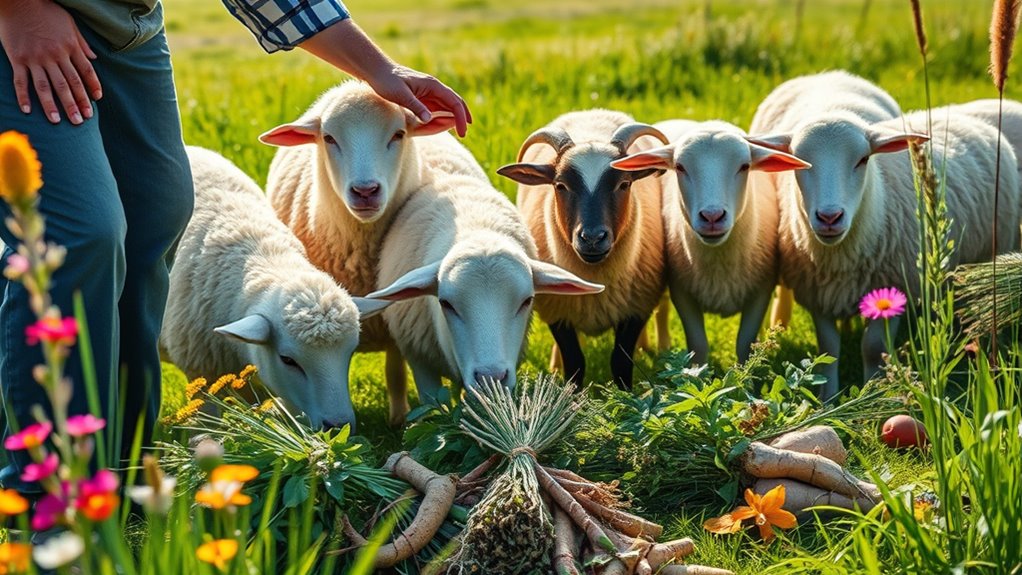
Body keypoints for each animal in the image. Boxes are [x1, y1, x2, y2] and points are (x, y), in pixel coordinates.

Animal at [260, 81, 460, 425]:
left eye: (398, 134)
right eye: (329, 138)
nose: (365, 191)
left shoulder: (395, 319)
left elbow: (395, 372)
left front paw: (398, 419)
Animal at [497, 110, 670, 390]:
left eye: (624, 184)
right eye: (560, 186)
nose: (592, 238)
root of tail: (591, 111)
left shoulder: (635, 309)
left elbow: (621, 362)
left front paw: (626, 396)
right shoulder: (557, 310)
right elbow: (575, 362)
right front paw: (572, 395)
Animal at [611, 119, 811, 365]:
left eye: (745, 166)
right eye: (680, 167)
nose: (712, 217)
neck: (719, 261)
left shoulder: (760, 291)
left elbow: (745, 344)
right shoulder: (682, 292)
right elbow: (698, 346)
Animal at [760, 109, 1020, 401]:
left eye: (862, 160)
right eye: (800, 163)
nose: (829, 217)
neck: (840, 258)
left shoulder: (895, 284)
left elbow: (873, 348)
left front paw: (873, 393)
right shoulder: (818, 295)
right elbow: (829, 349)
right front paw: (828, 400)